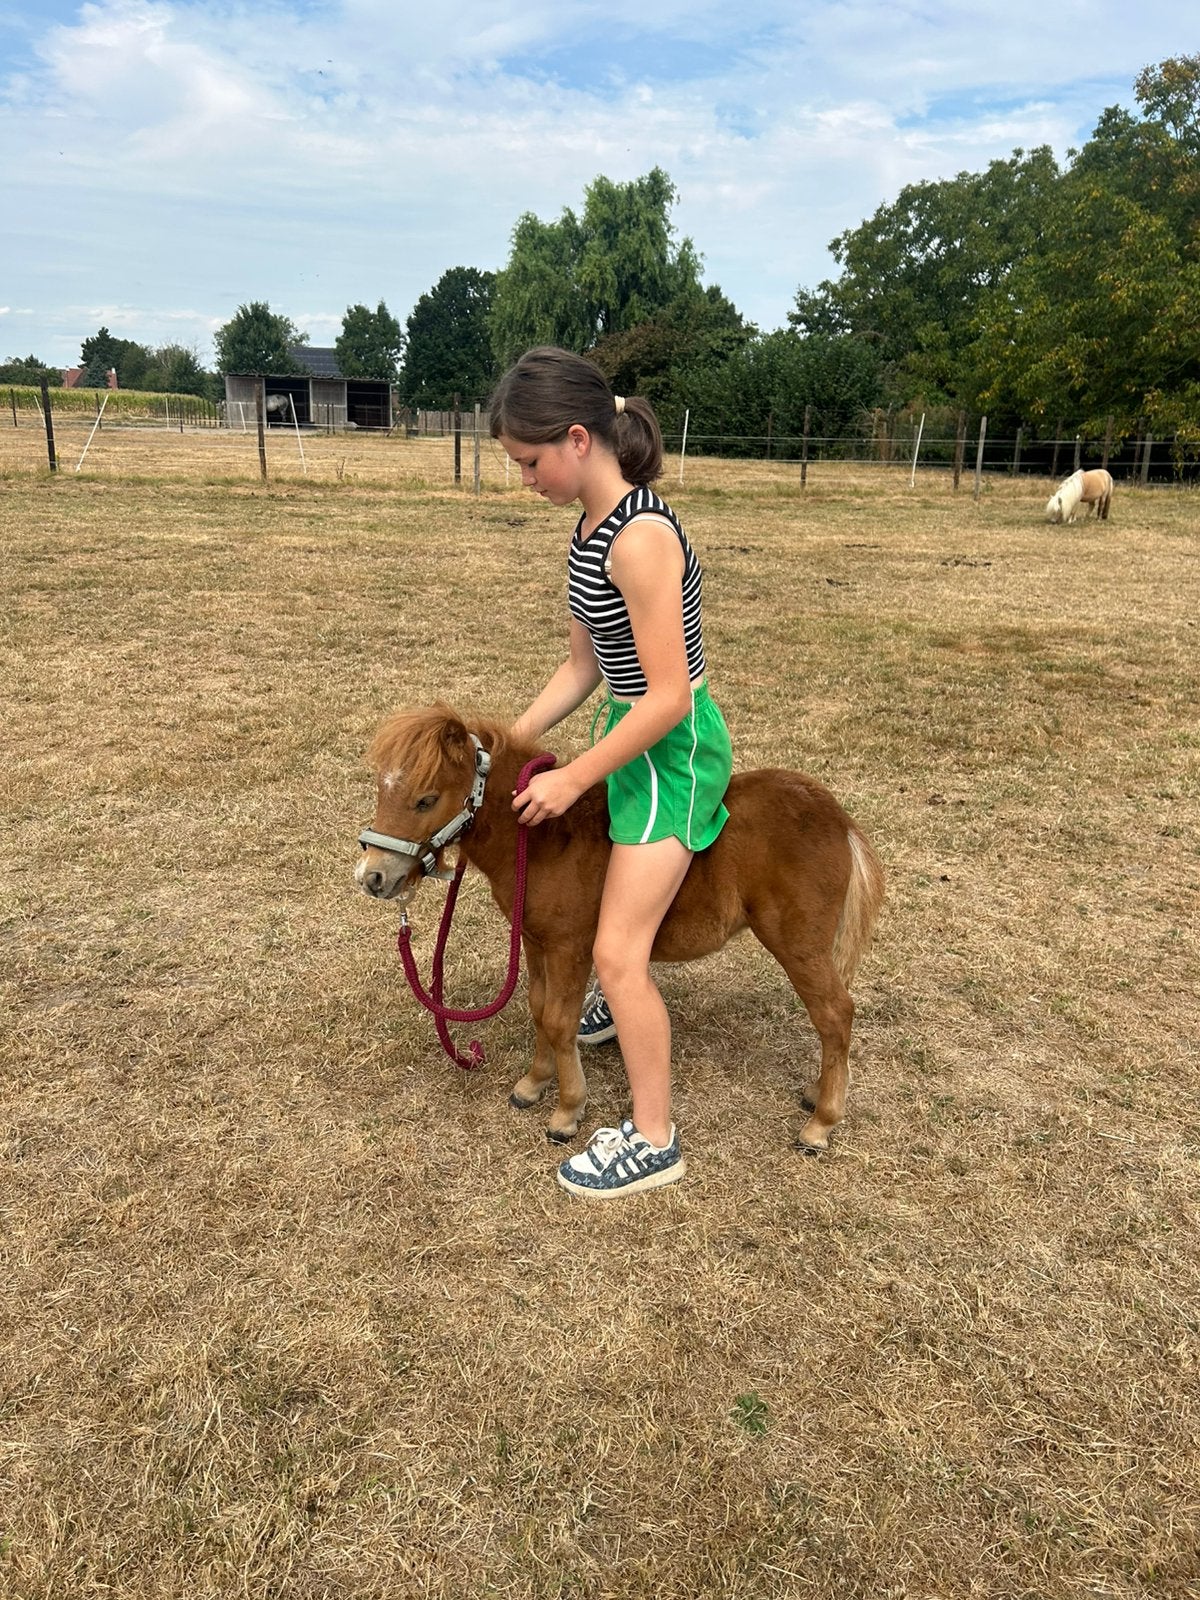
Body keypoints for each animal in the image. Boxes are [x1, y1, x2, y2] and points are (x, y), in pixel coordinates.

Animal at [355, 704, 885, 1155]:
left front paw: (567, 1112)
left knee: (835, 1014)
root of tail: (837, 817)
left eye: (425, 800)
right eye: (382, 791)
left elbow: (558, 1020)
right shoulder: (535, 941)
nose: (374, 877)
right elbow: (538, 1008)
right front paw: (533, 1084)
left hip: (797, 943)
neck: (543, 839)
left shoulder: (570, 948)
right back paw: (817, 1093)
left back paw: (820, 1123)